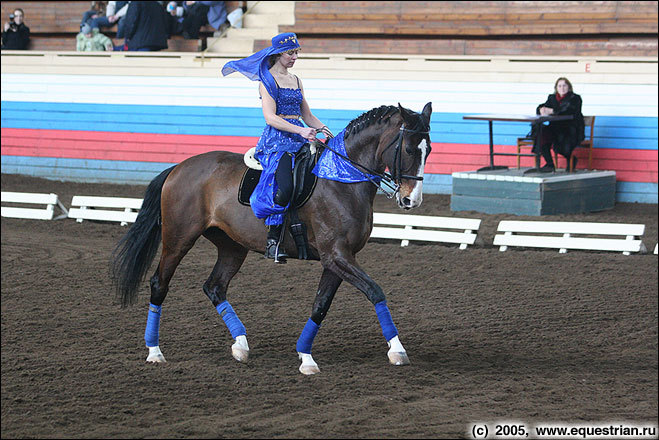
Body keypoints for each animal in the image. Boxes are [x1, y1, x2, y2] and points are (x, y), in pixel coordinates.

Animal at [112, 102, 434, 374]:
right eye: (408, 149)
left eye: (428, 150)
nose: (411, 201)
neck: (341, 177)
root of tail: (179, 167)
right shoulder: (337, 255)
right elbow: (375, 291)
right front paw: (397, 350)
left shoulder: (337, 259)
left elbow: (320, 305)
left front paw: (306, 357)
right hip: (179, 239)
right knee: (160, 283)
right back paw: (154, 351)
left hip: (232, 246)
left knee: (214, 286)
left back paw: (240, 345)